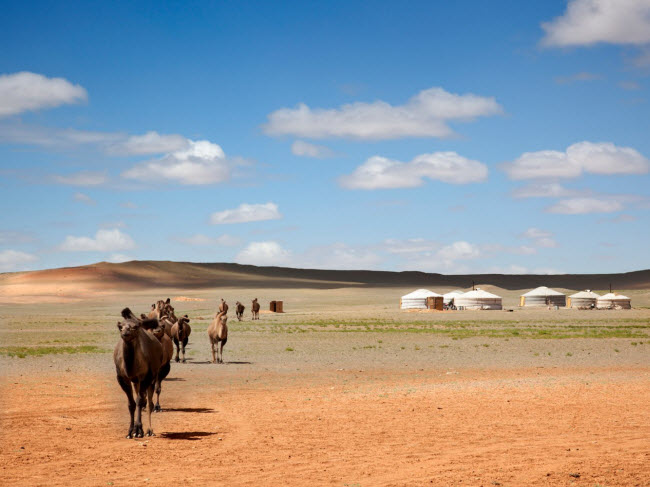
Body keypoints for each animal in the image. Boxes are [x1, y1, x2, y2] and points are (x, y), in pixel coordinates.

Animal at [112, 310, 162, 440]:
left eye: (134, 327)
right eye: (120, 327)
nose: (125, 333)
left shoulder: (146, 377)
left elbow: (140, 401)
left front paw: (139, 430)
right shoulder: (123, 378)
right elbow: (131, 404)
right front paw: (130, 431)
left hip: (152, 377)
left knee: (149, 402)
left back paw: (149, 430)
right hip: (136, 382)